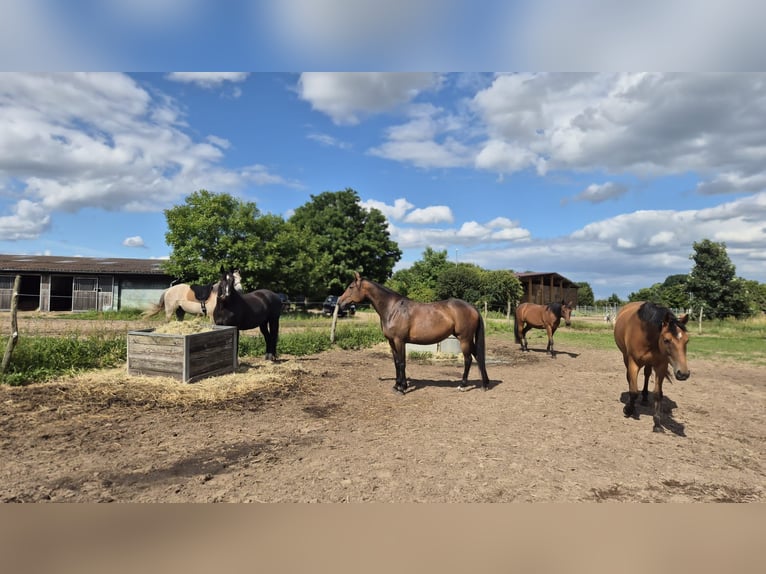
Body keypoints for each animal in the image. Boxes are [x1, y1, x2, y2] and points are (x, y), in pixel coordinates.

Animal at [338, 272, 490, 395]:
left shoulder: (399, 341)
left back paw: (463, 385)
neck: (393, 309)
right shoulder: (391, 342)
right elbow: (396, 362)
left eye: (351, 287)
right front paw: (396, 385)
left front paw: (402, 388)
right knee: (478, 357)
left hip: (464, 339)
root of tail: (472, 307)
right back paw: (485, 384)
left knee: (468, 359)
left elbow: (402, 363)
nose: (339, 302)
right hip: (468, 340)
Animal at [613, 301, 690, 432]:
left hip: (649, 363)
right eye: (666, 340)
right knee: (629, 378)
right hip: (625, 356)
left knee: (647, 374)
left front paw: (657, 423)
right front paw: (628, 410)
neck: (646, 334)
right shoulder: (633, 363)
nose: (683, 374)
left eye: (687, 340)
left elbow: (658, 394)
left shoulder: (661, 365)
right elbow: (633, 391)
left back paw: (644, 398)